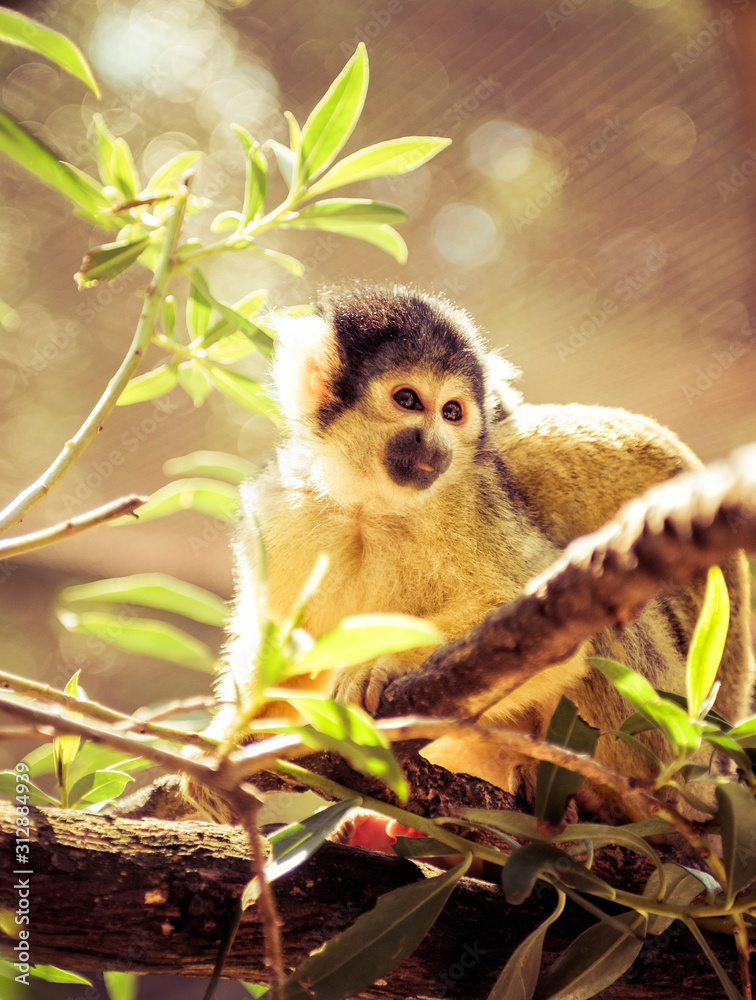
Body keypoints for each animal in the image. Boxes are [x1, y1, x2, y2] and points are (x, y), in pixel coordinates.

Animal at [184, 285, 754, 823]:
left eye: (451, 412)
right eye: (409, 400)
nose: (435, 443)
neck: (370, 504)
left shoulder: (475, 496)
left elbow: (547, 632)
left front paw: (382, 664)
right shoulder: (281, 509)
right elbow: (283, 643)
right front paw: (227, 739)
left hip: (669, 728)